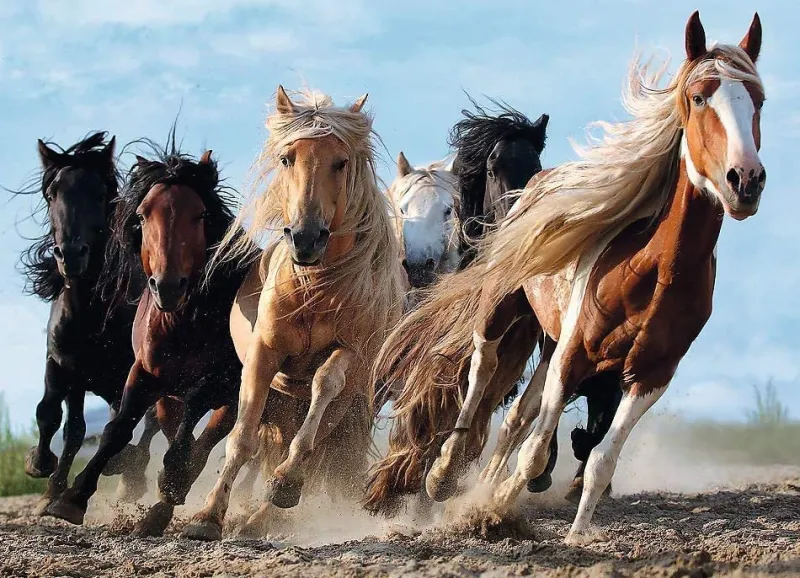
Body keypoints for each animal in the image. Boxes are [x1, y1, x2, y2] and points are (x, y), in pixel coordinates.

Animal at [16, 132, 159, 515]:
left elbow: (124, 424)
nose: (71, 254)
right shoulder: (64, 366)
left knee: (148, 424)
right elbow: (56, 418)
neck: (90, 315)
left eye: (99, 193)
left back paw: (130, 476)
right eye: (52, 194)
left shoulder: (131, 373)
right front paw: (44, 475)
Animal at [41, 138, 256, 535]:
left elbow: (192, 421)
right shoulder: (143, 373)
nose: (167, 286)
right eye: (142, 216)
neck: (182, 322)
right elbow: (117, 428)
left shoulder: (221, 381)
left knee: (203, 443)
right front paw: (71, 498)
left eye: (200, 215)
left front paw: (170, 481)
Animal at [181, 87, 405, 541]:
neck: (314, 289)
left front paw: (284, 482)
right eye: (287, 158)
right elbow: (242, 439)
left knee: (316, 448)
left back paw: (266, 511)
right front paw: (207, 516)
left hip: (348, 403)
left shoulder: (350, 354)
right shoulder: (263, 356)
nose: (305, 238)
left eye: (341, 162)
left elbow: (324, 385)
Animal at [366, 11, 766, 546]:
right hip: (503, 309)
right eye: (699, 96)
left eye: (758, 99)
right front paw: (488, 506)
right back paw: (444, 473)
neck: (654, 271)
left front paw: (572, 534)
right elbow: (533, 448)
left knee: (517, 417)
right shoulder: (573, 353)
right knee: (481, 368)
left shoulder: (650, 375)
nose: (745, 180)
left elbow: (598, 458)